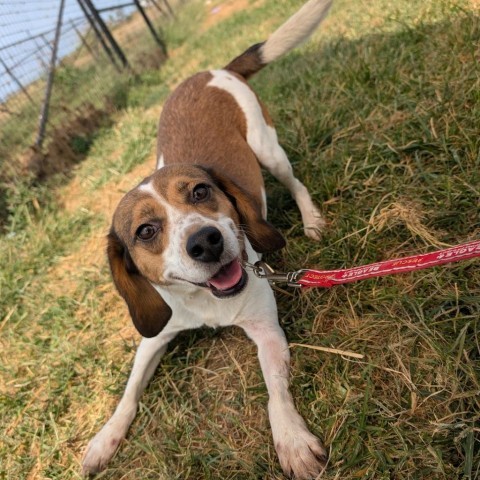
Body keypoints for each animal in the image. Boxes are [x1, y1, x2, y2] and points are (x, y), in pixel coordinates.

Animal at [81, 1, 330, 478]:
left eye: (200, 192)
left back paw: (311, 219)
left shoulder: (266, 330)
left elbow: (276, 393)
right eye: (146, 231)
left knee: (296, 183)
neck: (204, 302)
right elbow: (128, 394)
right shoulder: (154, 337)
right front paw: (105, 439)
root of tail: (213, 70)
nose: (206, 241)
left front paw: (291, 440)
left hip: (268, 149)